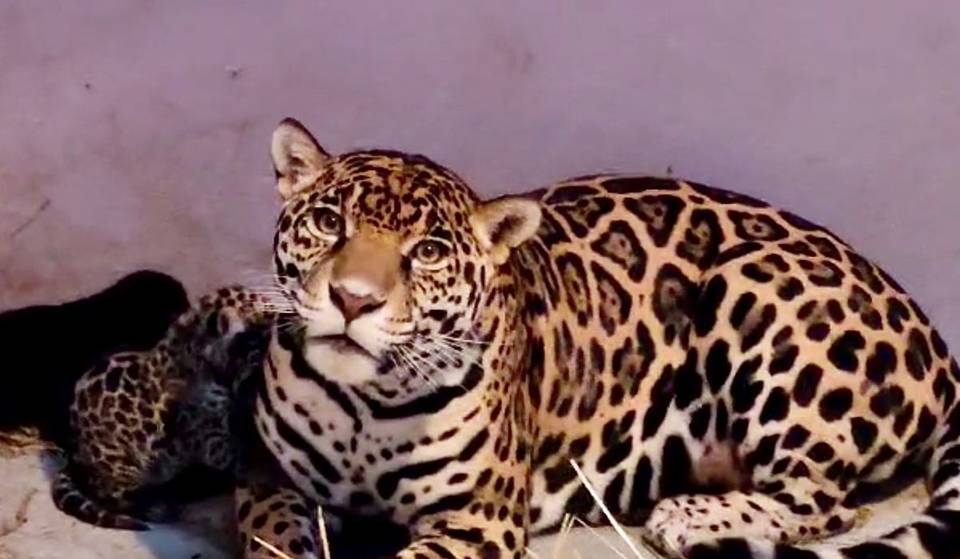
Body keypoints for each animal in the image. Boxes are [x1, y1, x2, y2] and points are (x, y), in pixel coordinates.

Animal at [52, 285, 274, 531]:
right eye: (260, 308)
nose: (277, 309)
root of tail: (74, 453)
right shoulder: (210, 438)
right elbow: (239, 453)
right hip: (121, 466)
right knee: (116, 494)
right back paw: (157, 506)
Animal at [235, 117, 960, 559]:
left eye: (430, 252)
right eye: (328, 223)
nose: (354, 298)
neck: (364, 404)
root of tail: (939, 344)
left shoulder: (478, 515)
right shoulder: (267, 473)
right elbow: (274, 535)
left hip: (757, 286)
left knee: (827, 507)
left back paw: (688, 516)